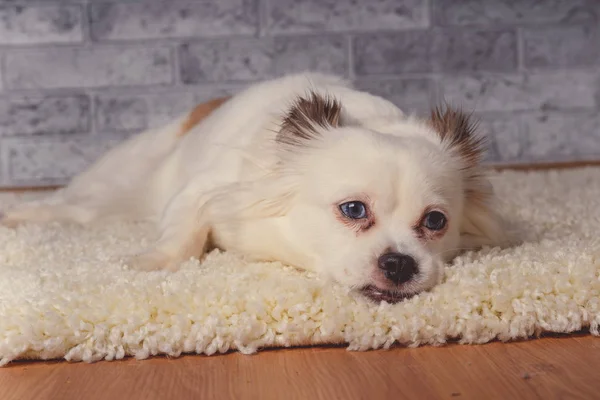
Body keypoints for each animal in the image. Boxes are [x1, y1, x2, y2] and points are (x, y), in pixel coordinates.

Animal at [3, 72, 510, 304]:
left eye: (436, 221)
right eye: (353, 210)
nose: (400, 263)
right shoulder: (203, 190)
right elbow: (180, 235)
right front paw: (152, 262)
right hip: (112, 190)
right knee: (66, 207)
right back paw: (17, 216)